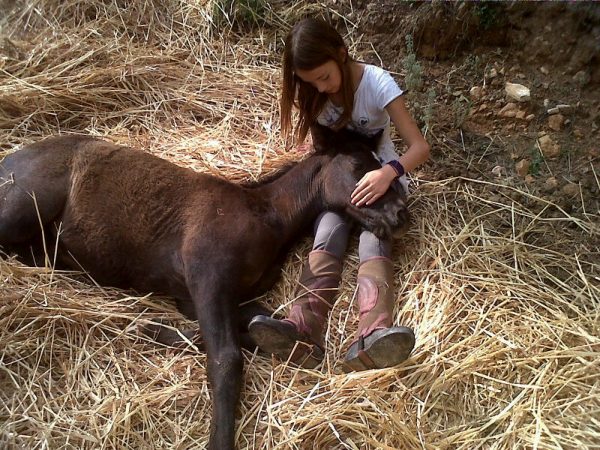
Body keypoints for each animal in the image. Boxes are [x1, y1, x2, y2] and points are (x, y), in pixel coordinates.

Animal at [0, 124, 408, 450]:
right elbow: (226, 358)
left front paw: (157, 330)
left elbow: (258, 323)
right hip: (21, 209)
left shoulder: (209, 296)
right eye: (358, 167)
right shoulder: (207, 278)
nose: (400, 213)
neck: (266, 215)